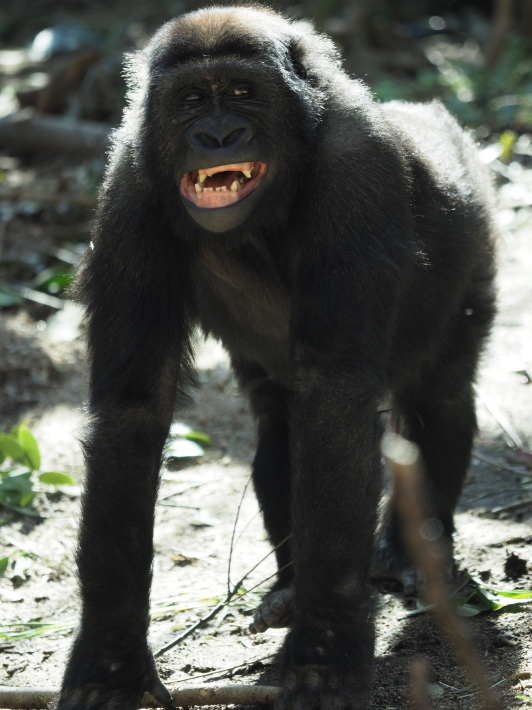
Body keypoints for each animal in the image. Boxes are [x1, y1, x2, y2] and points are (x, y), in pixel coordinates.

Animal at [59, 6, 498, 710]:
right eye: (190, 100)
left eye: (243, 92)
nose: (218, 135)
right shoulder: (128, 186)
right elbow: (133, 409)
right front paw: (109, 655)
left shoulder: (356, 166)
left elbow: (336, 391)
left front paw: (324, 651)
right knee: (281, 419)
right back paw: (293, 587)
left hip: (474, 221)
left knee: (439, 394)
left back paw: (411, 554)